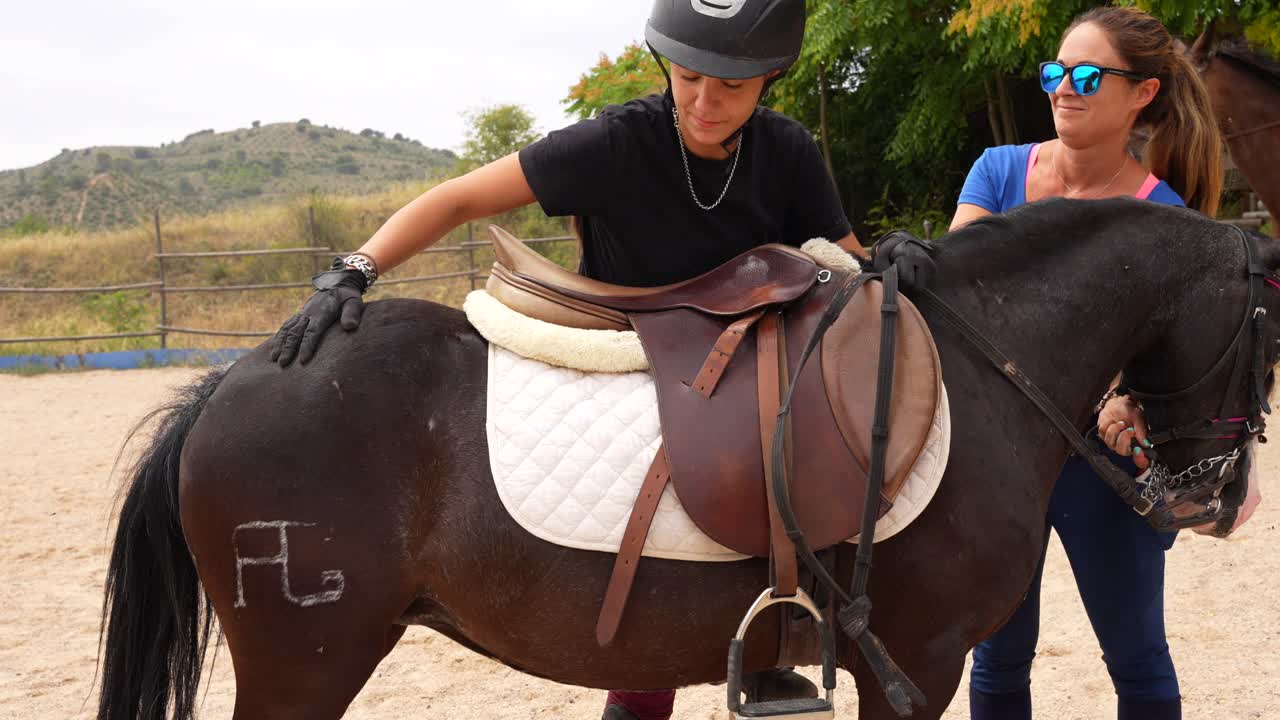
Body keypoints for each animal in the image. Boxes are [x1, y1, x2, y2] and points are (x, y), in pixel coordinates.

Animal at [97, 197, 1280, 720]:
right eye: (1269, 325)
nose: (1213, 498)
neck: (980, 360)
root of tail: (227, 384)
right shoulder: (917, 663)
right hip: (306, 658)